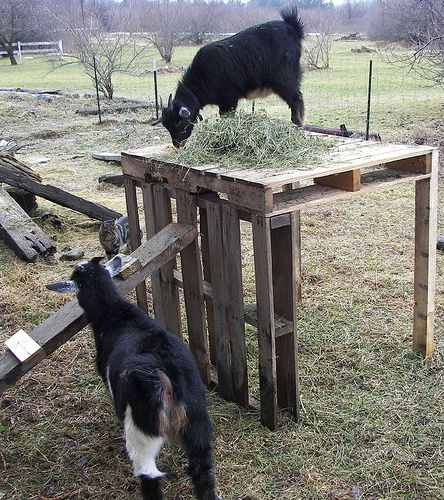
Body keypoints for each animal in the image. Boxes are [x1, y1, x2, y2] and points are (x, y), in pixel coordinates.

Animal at [46, 258, 219, 500]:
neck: (116, 314)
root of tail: (168, 378)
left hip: (142, 427)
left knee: (148, 474)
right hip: (197, 420)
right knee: (202, 472)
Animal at [153, 5, 306, 146]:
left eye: (178, 122)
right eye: (166, 125)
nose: (177, 144)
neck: (202, 77)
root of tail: (292, 27)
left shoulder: (229, 100)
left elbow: (226, 117)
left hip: (283, 79)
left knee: (296, 98)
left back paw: (296, 124)